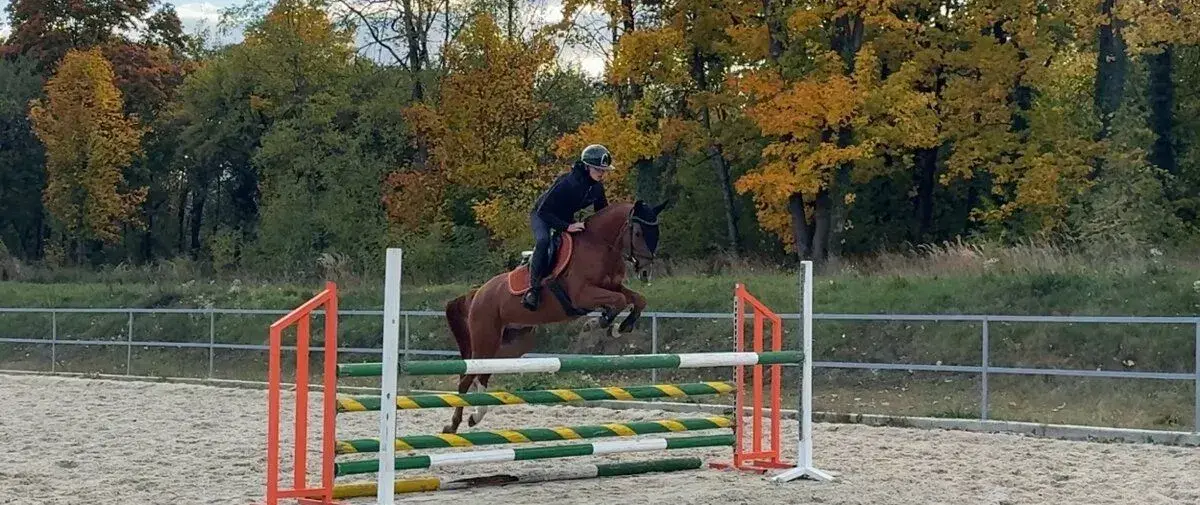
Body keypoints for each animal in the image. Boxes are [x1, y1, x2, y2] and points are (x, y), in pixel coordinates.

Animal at [440, 200, 670, 433]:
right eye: (639, 233)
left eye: (657, 232)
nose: (645, 271)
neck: (599, 245)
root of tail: (477, 293)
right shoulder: (582, 294)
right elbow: (620, 300)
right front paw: (601, 322)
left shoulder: (613, 287)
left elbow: (637, 299)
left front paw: (620, 326)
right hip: (486, 337)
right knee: (466, 376)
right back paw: (453, 425)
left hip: (512, 343)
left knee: (483, 372)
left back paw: (475, 417)